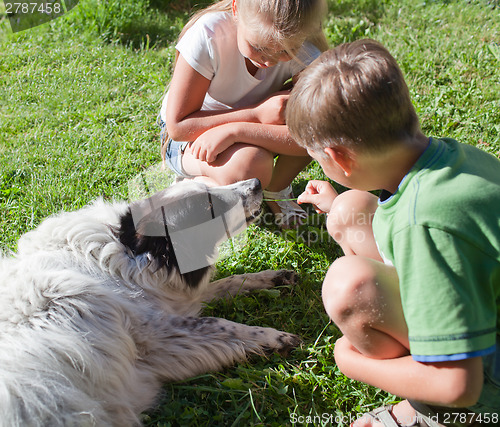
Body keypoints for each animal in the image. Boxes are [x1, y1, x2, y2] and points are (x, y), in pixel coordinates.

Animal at [0, 180, 296, 427]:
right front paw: (275, 337)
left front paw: (273, 277)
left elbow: (231, 282)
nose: (256, 183)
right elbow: (222, 324)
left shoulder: (172, 300)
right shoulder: (159, 335)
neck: (126, 253)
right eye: (209, 206)